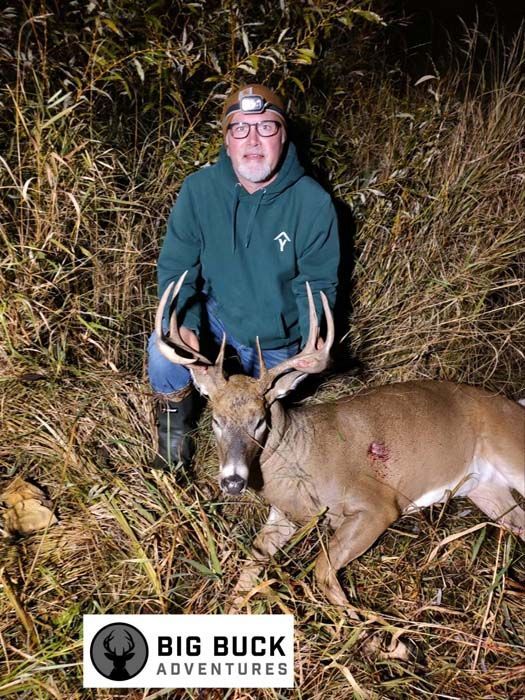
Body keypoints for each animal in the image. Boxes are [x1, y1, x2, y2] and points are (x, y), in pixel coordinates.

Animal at [155, 272, 525, 633]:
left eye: (259, 420)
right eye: (216, 420)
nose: (233, 481)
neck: (300, 458)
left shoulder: (377, 505)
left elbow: (322, 571)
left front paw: (372, 634)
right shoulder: (282, 515)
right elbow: (249, 570)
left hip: (512, 454)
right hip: (486, 490)